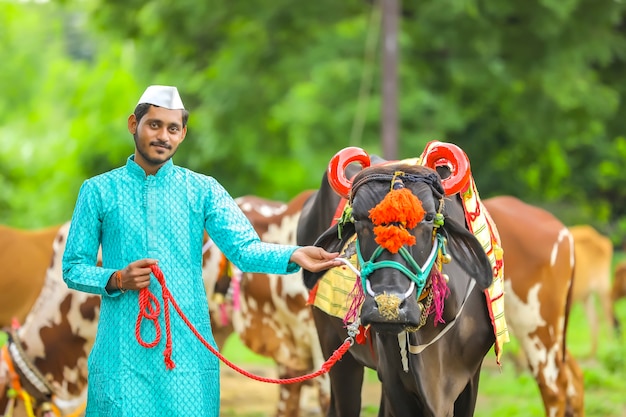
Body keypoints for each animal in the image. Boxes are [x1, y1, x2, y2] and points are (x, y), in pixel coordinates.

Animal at [294, 162, 494, 416]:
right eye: (357, 219)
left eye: (429, 217)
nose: (387, 306)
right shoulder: (395, 382)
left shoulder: (469, 380)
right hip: (334, 346)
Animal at [568, 223, 612, 356]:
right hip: (585, 295)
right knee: (595, 319)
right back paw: (591, 353)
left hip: (603, 287)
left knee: (608, 317)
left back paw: (611, 349)